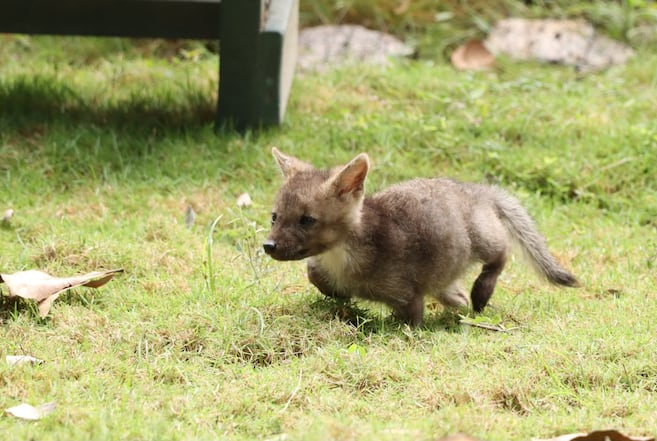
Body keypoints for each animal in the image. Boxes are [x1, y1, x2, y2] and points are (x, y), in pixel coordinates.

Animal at [263, 147, 578, 327]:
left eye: (307, 220)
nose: (268, 245)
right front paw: (338, 295)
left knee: (501, 255)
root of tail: (479, 190)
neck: (343, 259)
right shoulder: (323, 268)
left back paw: (481, 292)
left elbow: (411, 322)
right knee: (458, 295)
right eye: (274, 216)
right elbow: (315, 274)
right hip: (446, 275)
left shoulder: (407, 295)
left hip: (485, 239)